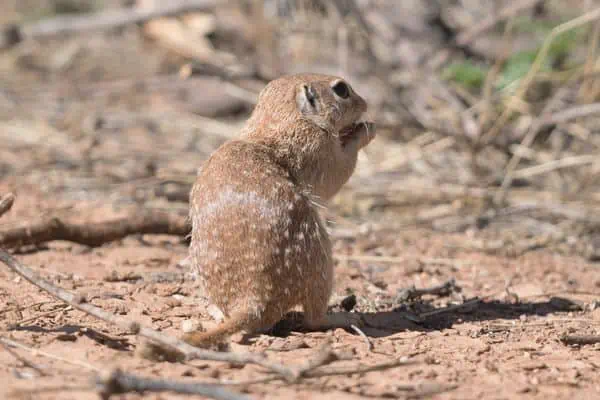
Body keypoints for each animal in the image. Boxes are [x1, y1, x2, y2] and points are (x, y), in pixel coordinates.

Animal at [185, 72, 378, 346]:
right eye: (342, 90)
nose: (365, 103)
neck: (277, 119)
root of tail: (250, 299)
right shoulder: (314, 145)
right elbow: (335, 173)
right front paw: (364, 131)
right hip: (320, 259)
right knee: (314, 318)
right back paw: (342, 317)